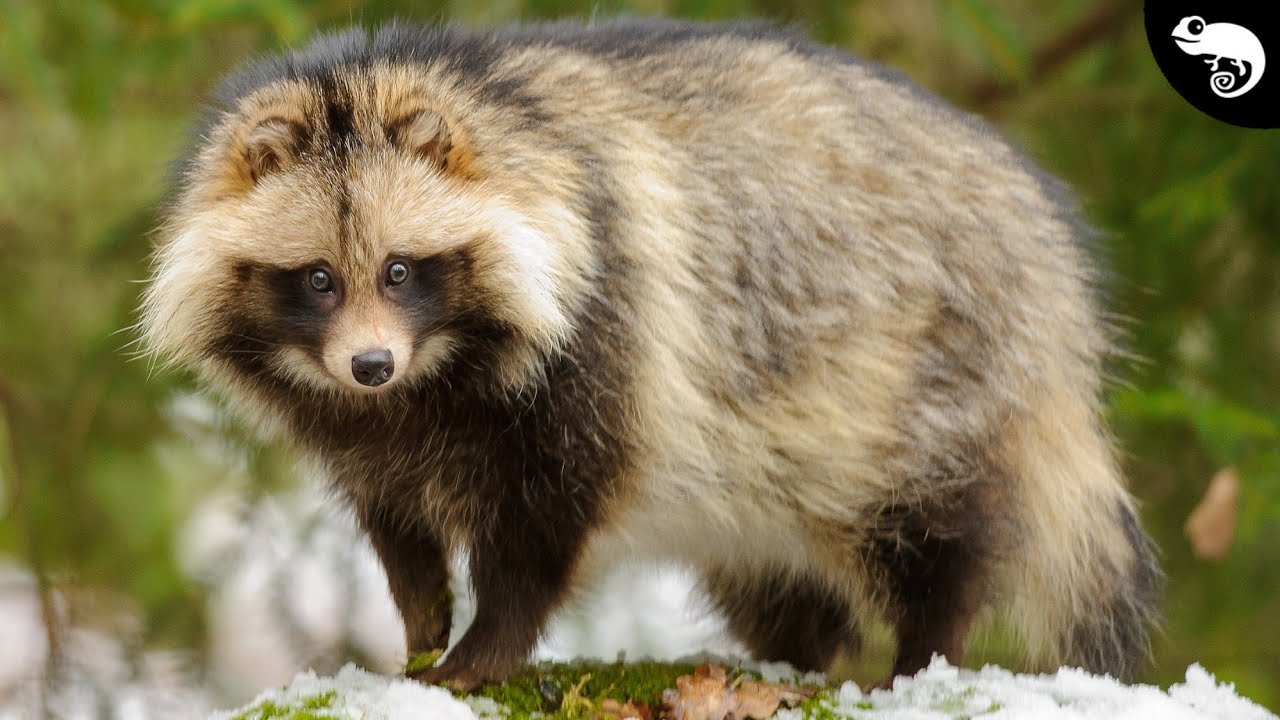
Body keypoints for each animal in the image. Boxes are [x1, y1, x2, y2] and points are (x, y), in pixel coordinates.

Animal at [139, 18, 1161, 690]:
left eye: (399, 270)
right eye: (317, 279)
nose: (370, 367)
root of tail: (1053, 259)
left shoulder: (608, 324)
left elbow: (548, 518)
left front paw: (484, 646)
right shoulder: (362, 428)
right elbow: (397, 523)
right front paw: (422, 622)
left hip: (930, 373)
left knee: (938, 532)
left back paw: (922, 655)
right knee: (778, 575)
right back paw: (795, 654)